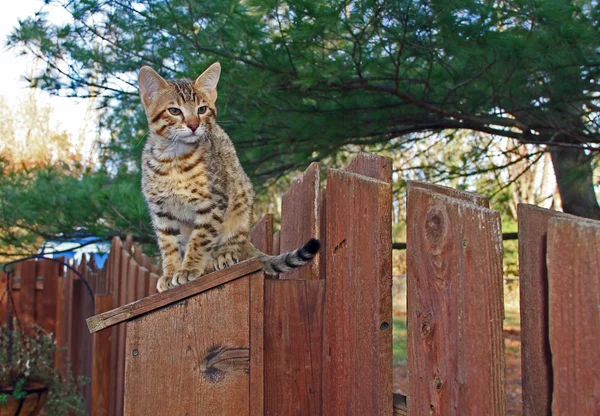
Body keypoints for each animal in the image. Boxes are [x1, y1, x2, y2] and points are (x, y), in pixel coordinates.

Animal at [139, 62, 322, 292]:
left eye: (202, 109)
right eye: (174, 110)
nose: (193, 125)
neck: (174, 159)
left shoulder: (213, 202)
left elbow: (200, 239)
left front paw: (188, 269)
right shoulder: (161, 211)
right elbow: (168, 244)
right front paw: (171, 273)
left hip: (241, 203)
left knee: (233, 240)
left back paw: (223, 255)